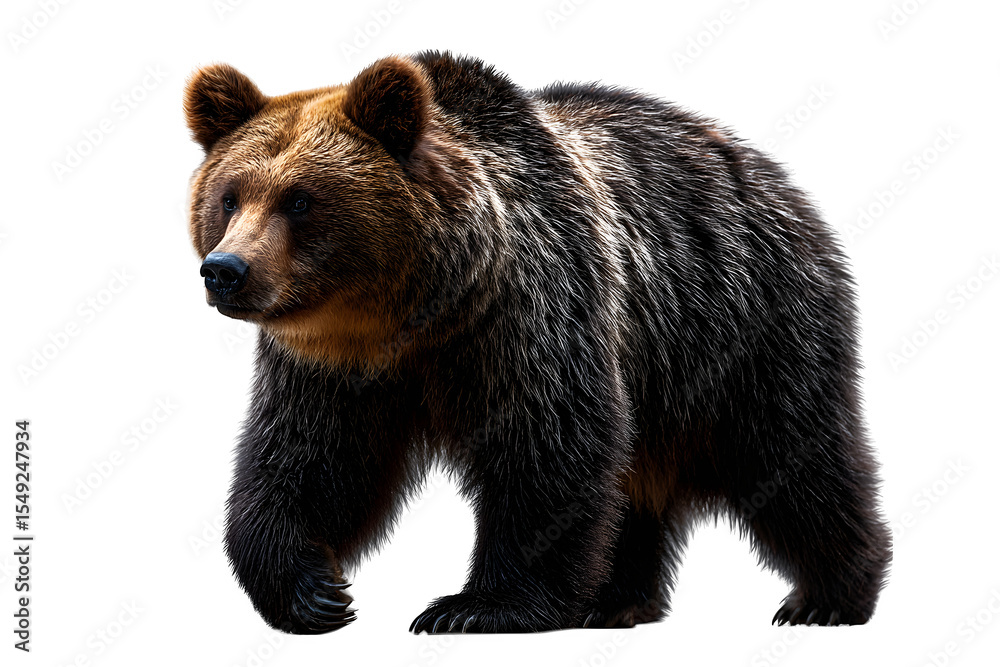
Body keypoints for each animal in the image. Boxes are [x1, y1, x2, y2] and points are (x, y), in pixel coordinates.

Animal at [183, 51, 891, 634]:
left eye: (301, 200)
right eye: (229, 196)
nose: (225, 270)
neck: (414, 311)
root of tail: (774, 176)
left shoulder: (534, 306)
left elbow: (550, 445)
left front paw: (470, 608)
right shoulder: (331, 362)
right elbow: (306, 458)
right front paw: (314, 592)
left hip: (746, 326)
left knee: (794, 458)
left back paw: (827, 597)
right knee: (638, 478)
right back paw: (615, 600)